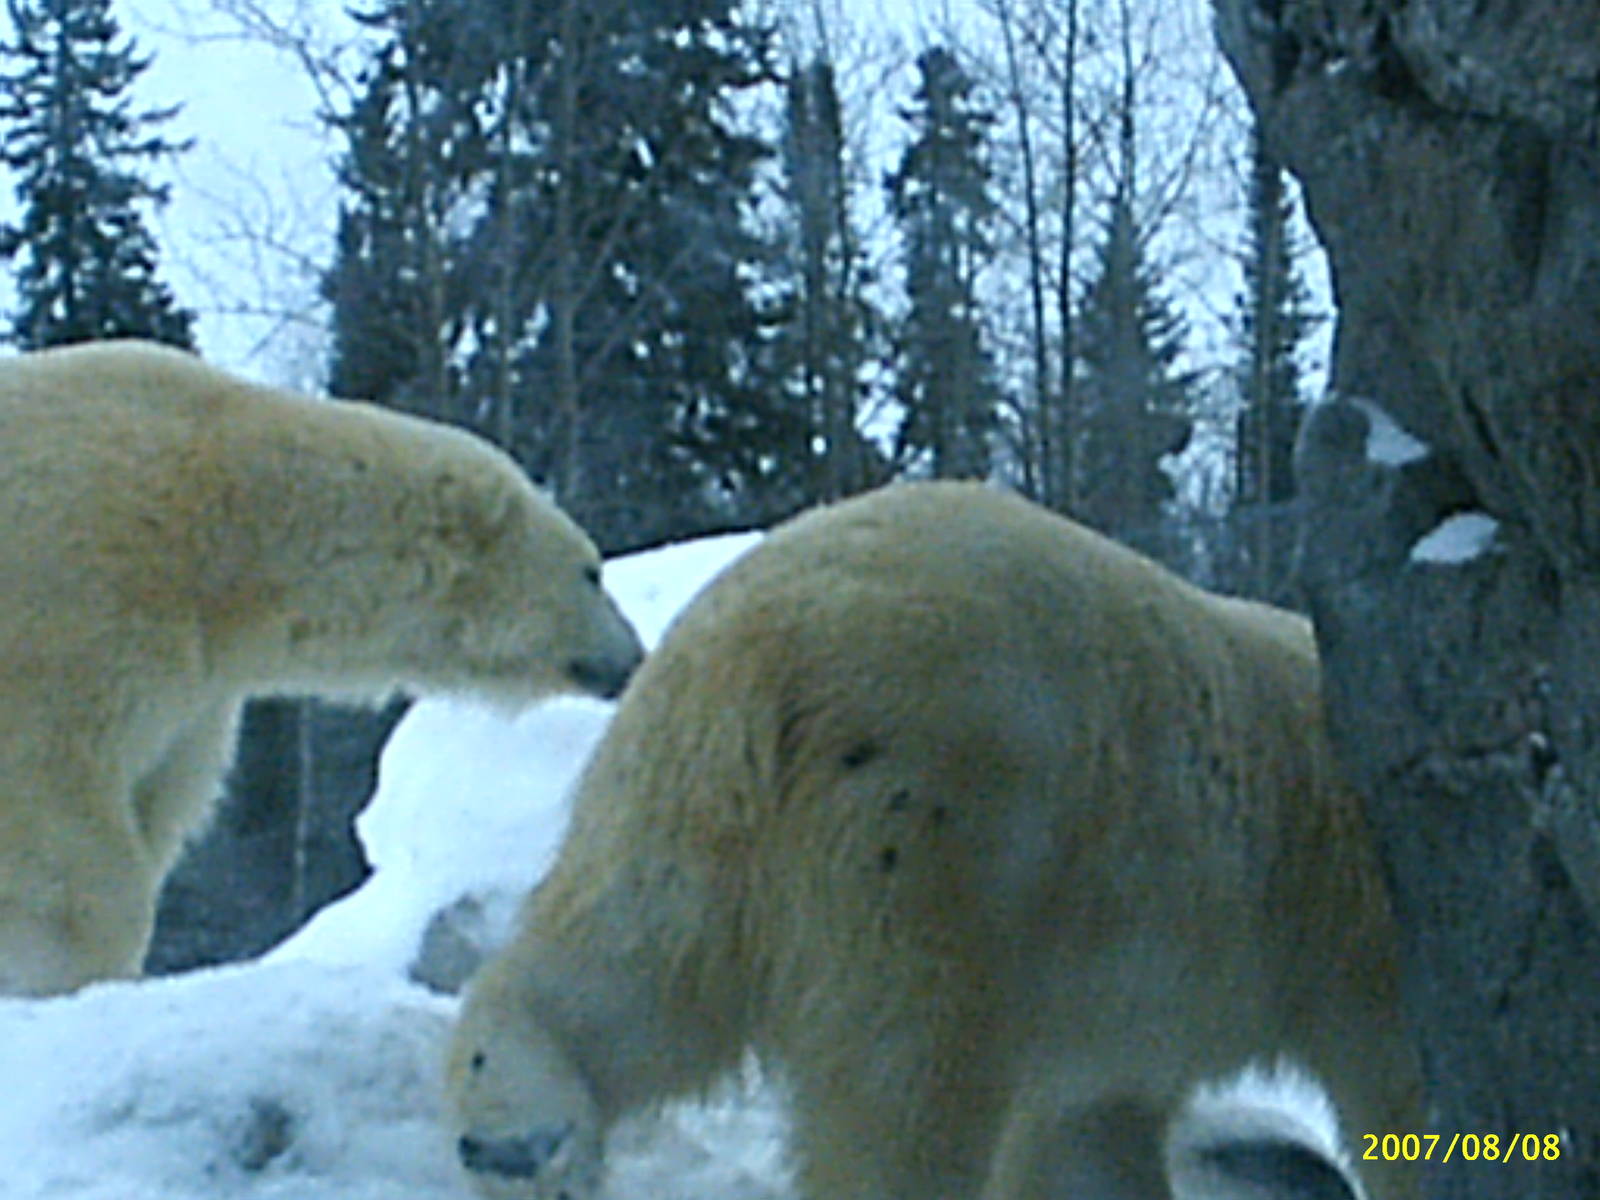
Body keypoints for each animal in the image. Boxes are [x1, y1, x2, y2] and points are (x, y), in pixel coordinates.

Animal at [0, 339, 643, 998]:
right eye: (592, 572)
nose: (633, 656)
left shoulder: (194, 687)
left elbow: (158, 794)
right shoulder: (77, 606)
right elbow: (51, 790)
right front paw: (84, 971)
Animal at [444, 480, 1422, 1200]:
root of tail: (765, 650)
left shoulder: (1110, 1026)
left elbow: (1085, 1132)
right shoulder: (1355, 933)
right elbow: (1393, 1094)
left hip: (687, 800)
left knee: (636, 967)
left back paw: (519, 1132)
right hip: (931, 836)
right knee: (901, 1090)